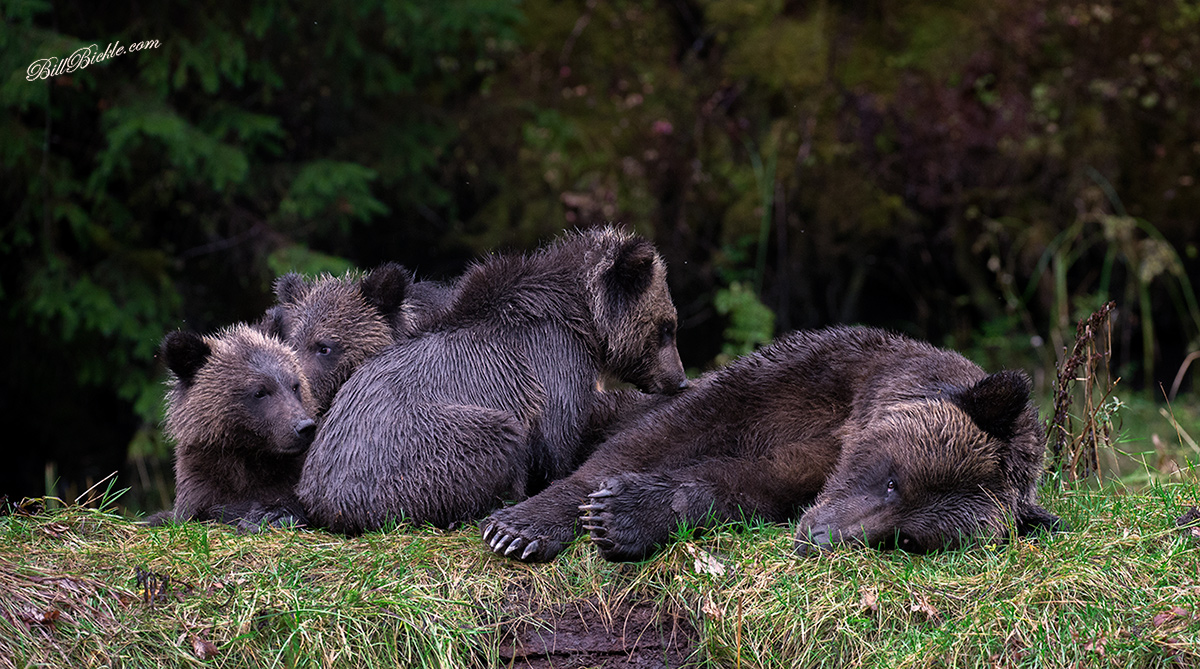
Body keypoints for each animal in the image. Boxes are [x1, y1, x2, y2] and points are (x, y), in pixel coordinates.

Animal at [296, 226, 689, 534]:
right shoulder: (551, 365)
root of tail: (328, 504)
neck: (583, 320)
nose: (679, 380)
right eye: (667, 328)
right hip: (422, 449)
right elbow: (557, 441)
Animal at [480, 325, 1061, 562]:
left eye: (908, 539)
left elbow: (745, 484)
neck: (852, 418)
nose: (823, 538)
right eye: (895, 480)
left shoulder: (810, 471)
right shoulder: (808, 379)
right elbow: (663, 435)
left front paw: (627, 515)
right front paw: (522, 529)